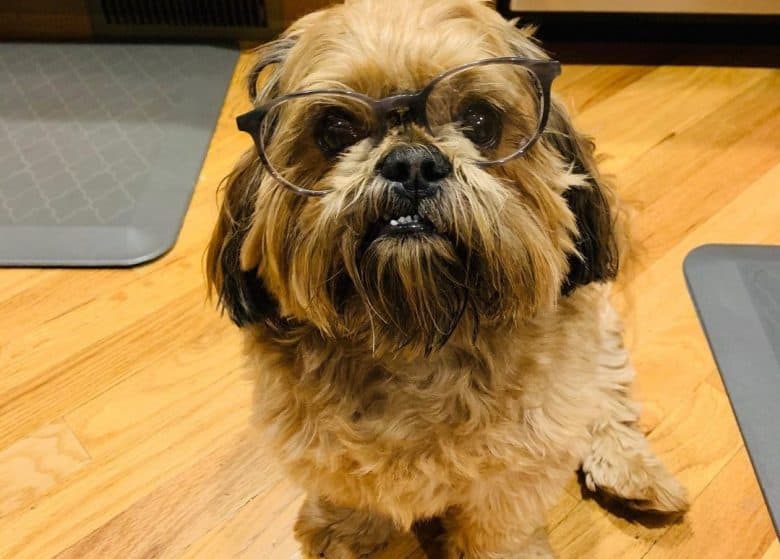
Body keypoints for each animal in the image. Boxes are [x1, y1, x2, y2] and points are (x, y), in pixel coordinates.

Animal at [207, 2, 688, 556]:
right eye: (335, 128)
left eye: (480, 120)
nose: (412, 162)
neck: (418, 337)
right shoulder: (320, 448)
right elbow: (348, 489)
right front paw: (345, 530)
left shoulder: (518, 467)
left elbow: (499, 524)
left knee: (607, 388)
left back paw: (630, 467)